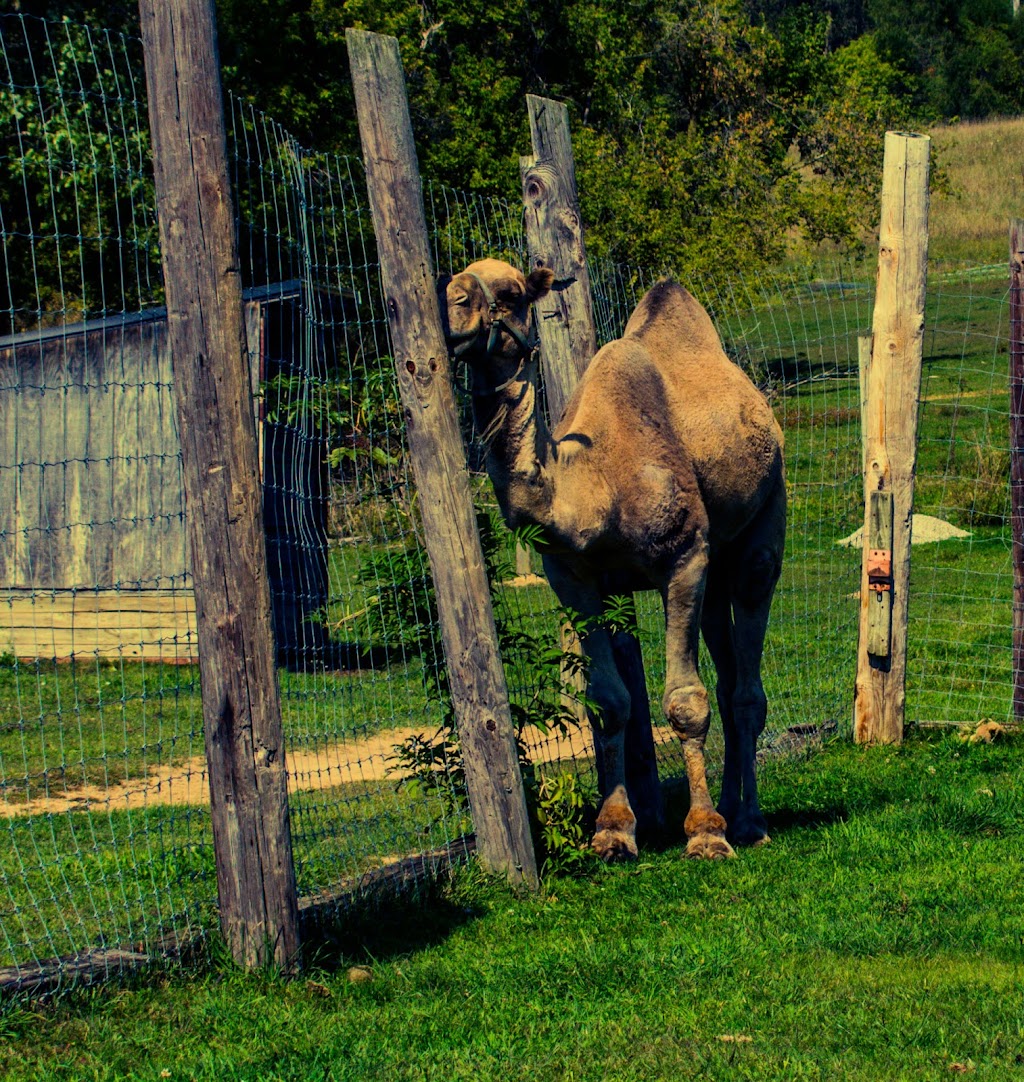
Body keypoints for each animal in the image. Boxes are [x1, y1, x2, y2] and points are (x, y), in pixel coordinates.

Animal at [444, 258, 786, 861]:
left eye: (511, 293)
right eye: (455, 278)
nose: (453, 302)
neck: (596, 482)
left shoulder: (683, 557)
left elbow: (685, 701)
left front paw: (703, 832)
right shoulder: (574, 575)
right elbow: (607, 700)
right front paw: (614, 830)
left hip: (765, 521)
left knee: (746, 682)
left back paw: (747, 821)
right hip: (716, 566)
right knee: (727, 680)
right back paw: (731, 806)